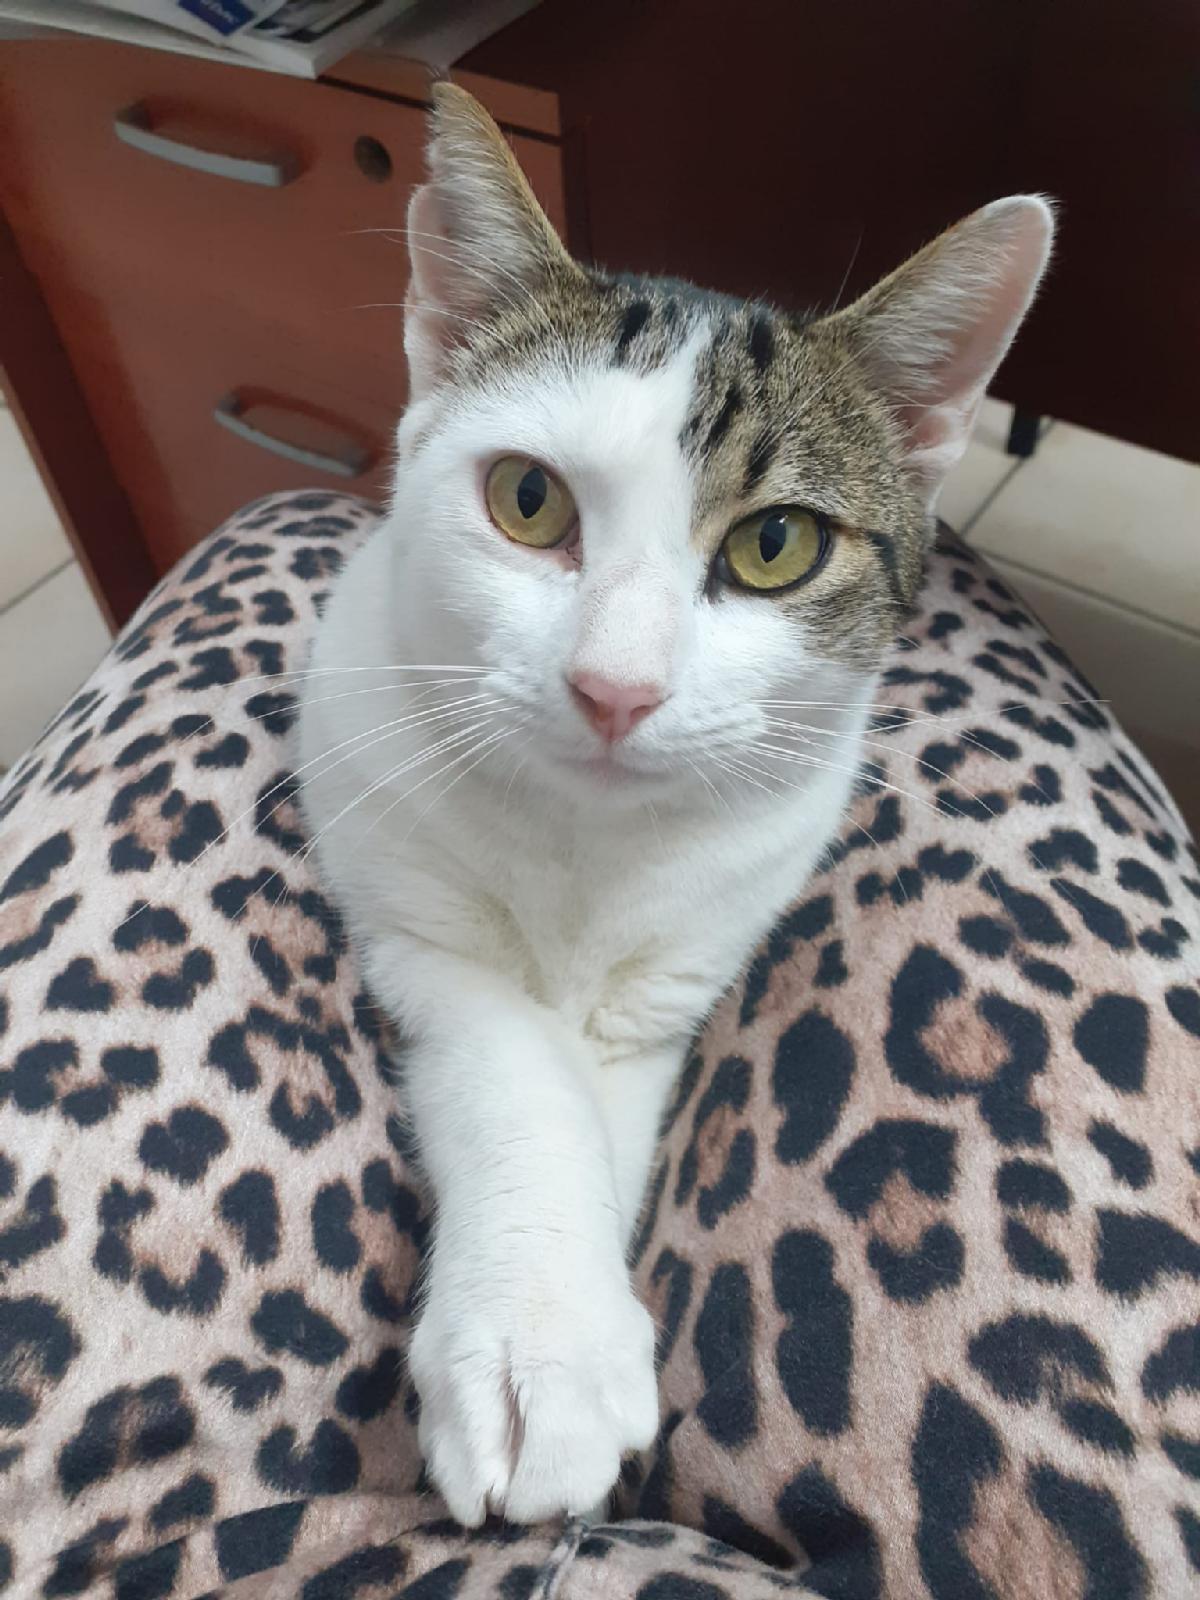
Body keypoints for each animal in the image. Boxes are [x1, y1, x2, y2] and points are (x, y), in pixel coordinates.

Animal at [298, 82, 1053, 1527]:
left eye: (777, 545)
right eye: (528, 498)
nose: (616, 688)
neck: (582, 841)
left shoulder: (686, 964)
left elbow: (605, 1094)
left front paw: (568, 1323)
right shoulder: (408, 903)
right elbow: (511, 1062)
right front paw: (537, 1334)